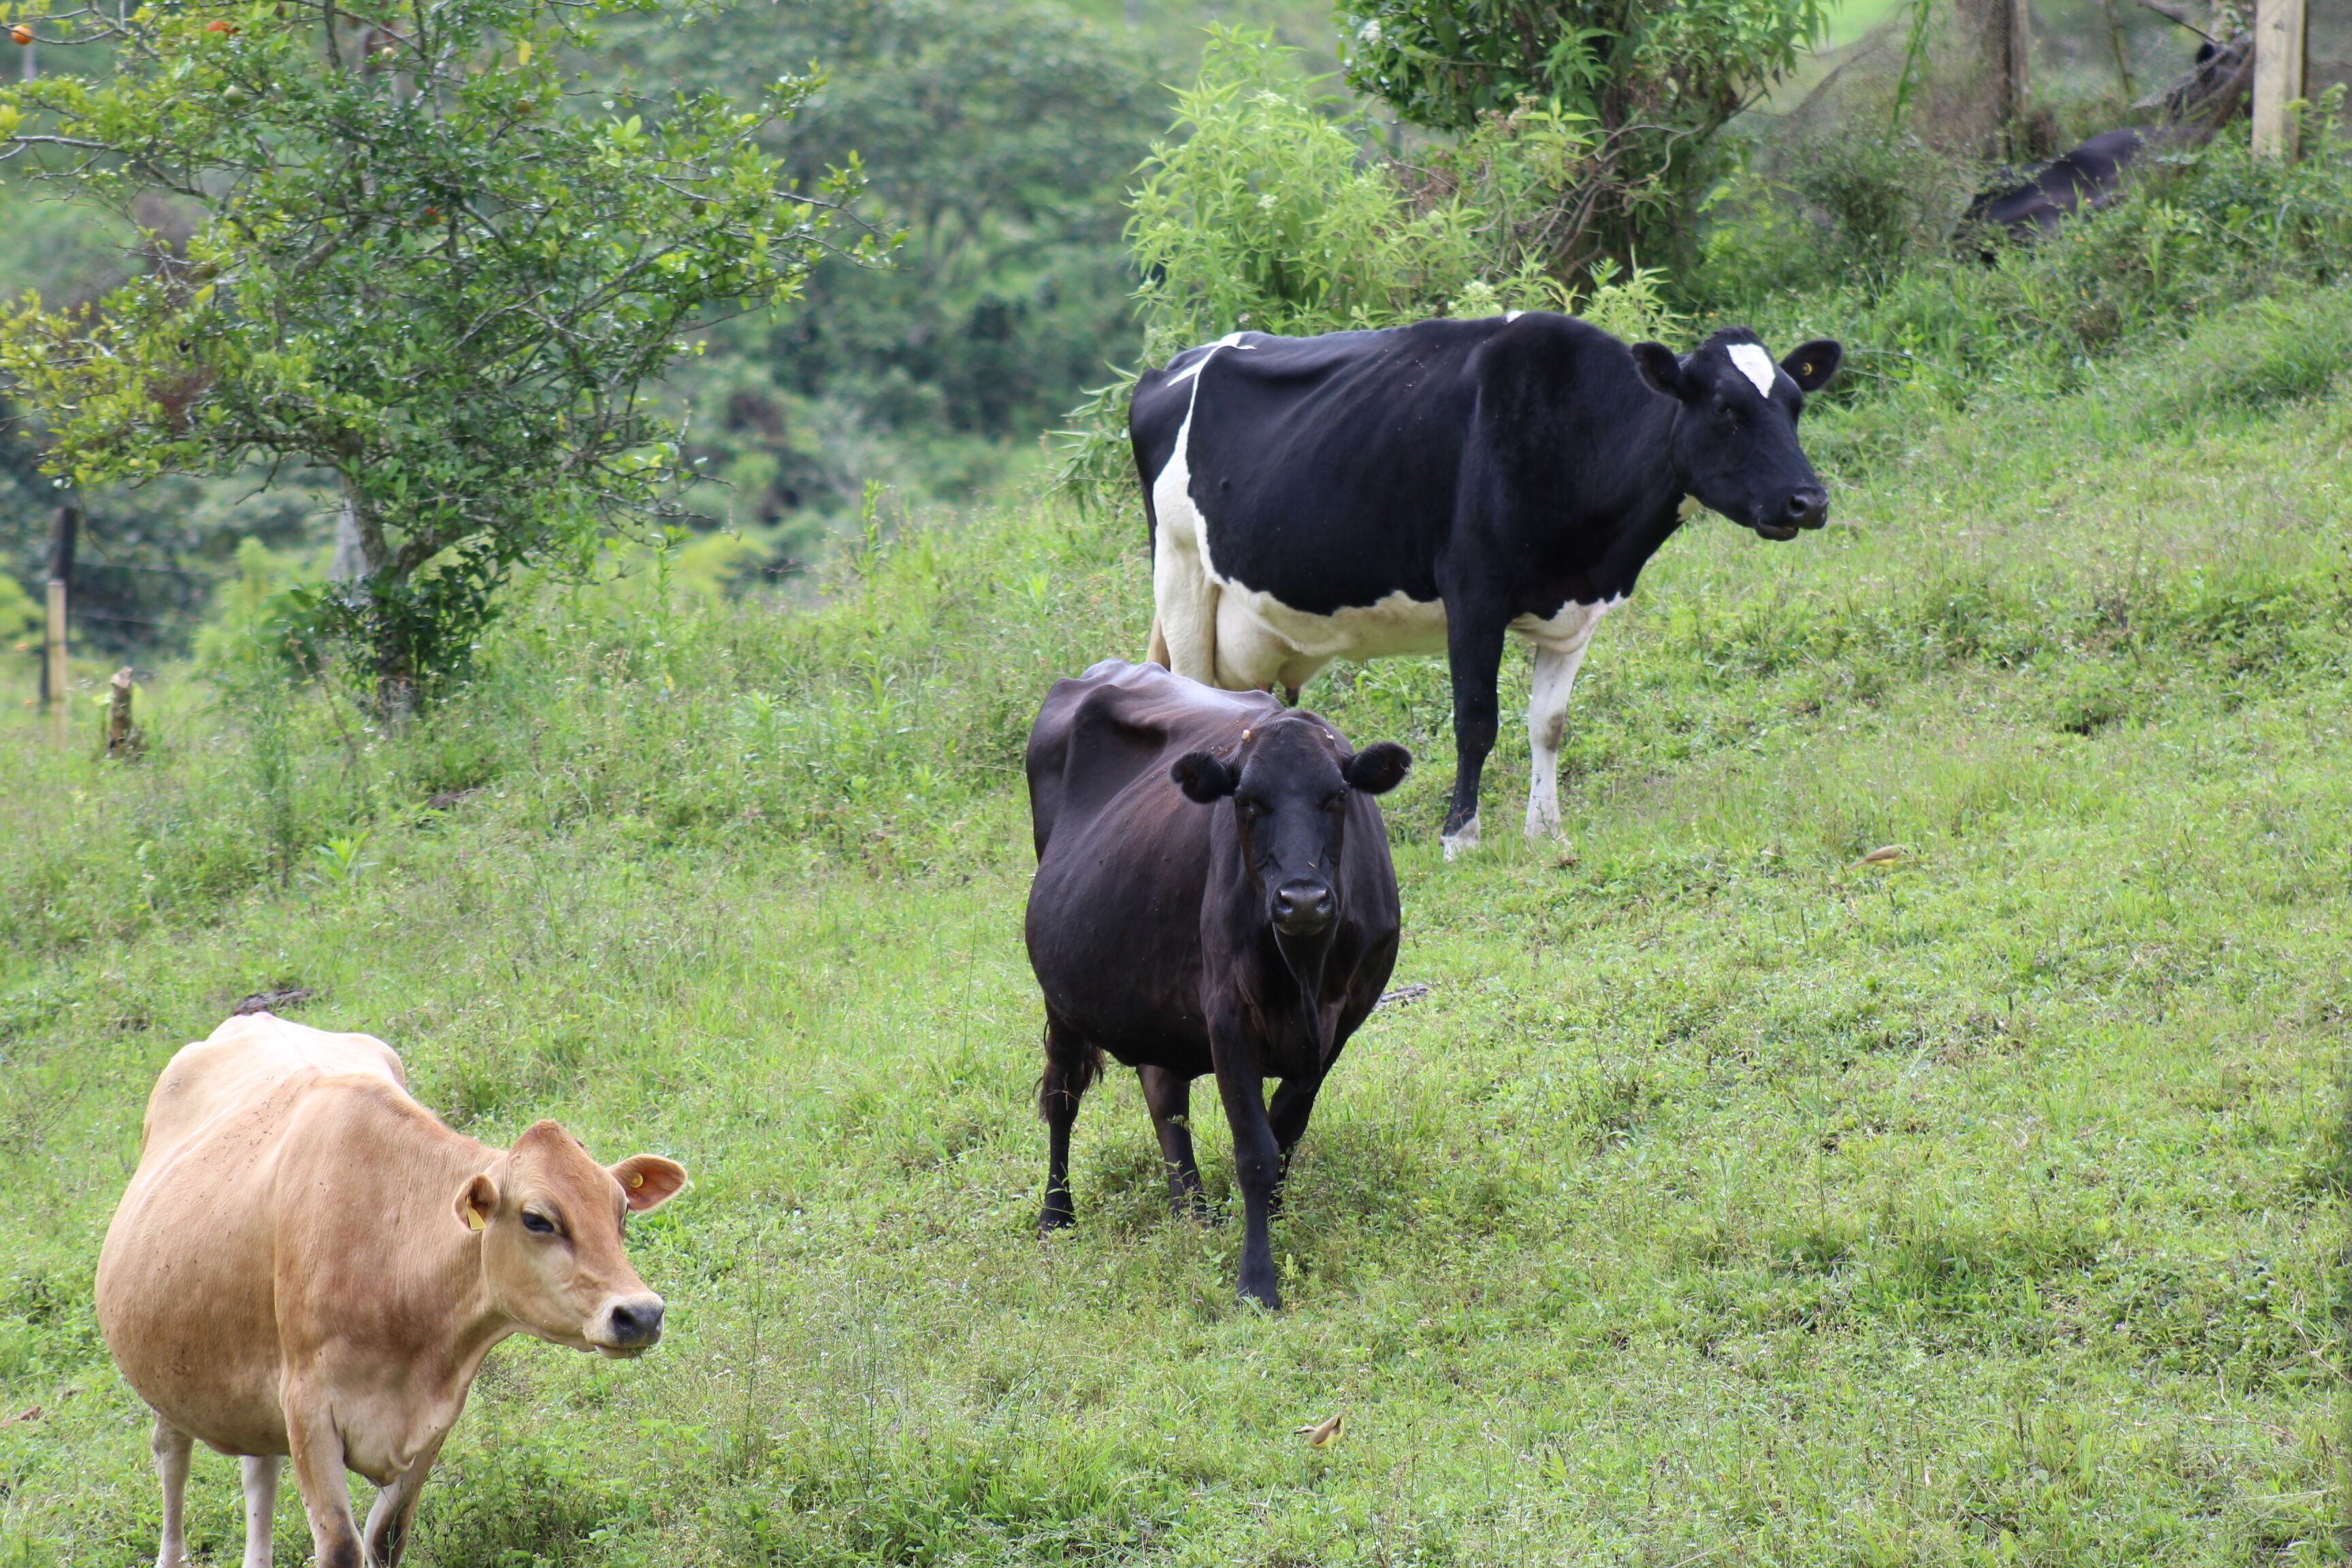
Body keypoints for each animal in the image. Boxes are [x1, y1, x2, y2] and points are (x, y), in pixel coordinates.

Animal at [96, 1013, 687, 1568]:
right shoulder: (308, 1407)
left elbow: (386, 1539)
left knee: (259, 1472)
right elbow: (340, 1545)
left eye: (622, 1211)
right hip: (165, 1374)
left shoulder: (432, 1416)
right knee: (172, 1459)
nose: (641, 1314)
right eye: (537, 1219)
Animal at [1023, 660, 1410, 1309]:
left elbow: (1285, 1134)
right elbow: (1254, 1150)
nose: (1302, 900)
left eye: (1337, 796)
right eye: (1247, 802)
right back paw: (1057, 1217)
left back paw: (1195, 1211)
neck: (1304, 970)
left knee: (1164, 1095)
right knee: (1062, 1096)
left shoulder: (1339, 1024)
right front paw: (1257, 1281)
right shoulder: (1228, 1015)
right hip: (1062, 997)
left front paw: (1275, 1221)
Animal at [1132, 316, 1843, 858]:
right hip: (1181, 575)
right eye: (1726, 408)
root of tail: (1178, 362)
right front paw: (1460, 836)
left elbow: (1548, 723)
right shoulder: (1473, 594)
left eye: (1795, 406)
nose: (1808, 501)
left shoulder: (1576, 610)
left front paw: (1546, 830)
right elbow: (1476, 721)